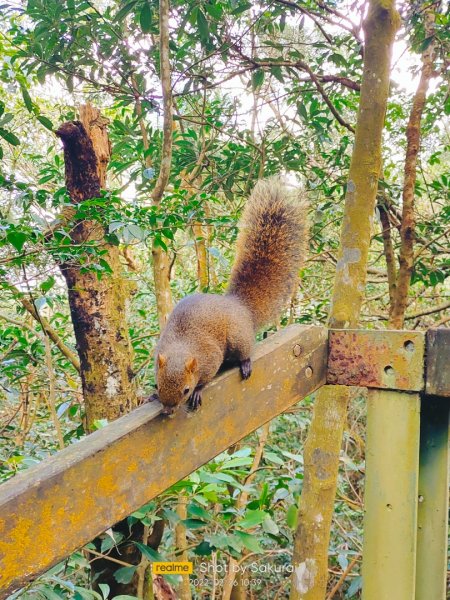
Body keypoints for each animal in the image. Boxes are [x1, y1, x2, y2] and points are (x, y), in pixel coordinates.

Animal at [154, 176, 306, 414]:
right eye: (159, 385)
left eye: (186, 390)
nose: (168, 411)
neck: (182, 346)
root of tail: (239, 305)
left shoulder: (210, 357)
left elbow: (206, 377)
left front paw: (198, 391)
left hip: (238, 338)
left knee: (244, 352)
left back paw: (244, 363)